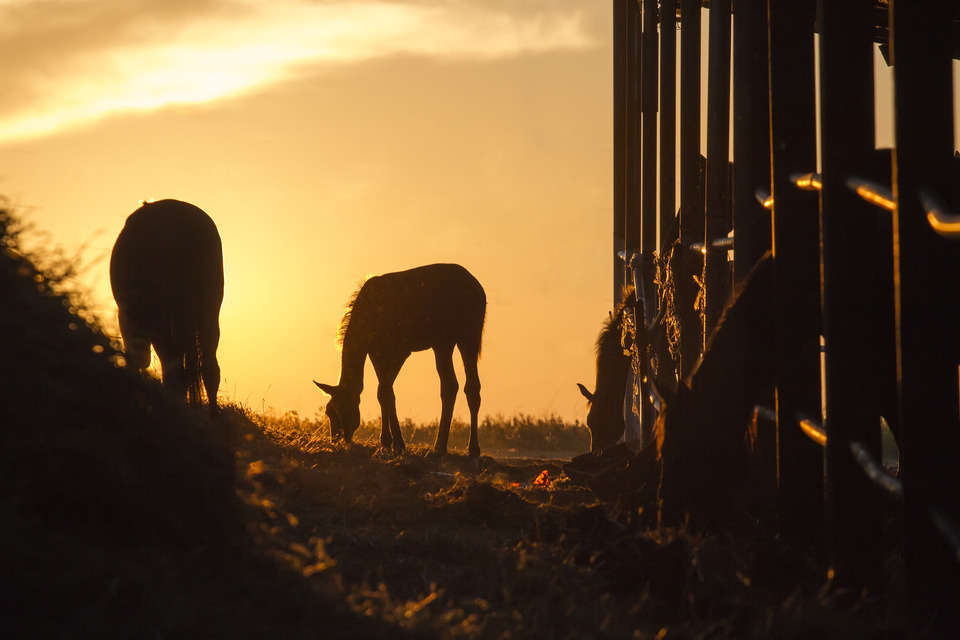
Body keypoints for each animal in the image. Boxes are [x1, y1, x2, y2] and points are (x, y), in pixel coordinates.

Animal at [316, 262, 488, 458]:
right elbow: (385, 393)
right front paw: (389, 442)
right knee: (450, 385)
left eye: (340, 409)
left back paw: (473, 449)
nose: (336, 438)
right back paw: (439, 446)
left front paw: (395, 443)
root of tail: (478, 289)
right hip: (443, 343)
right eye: (329, 411)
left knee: (471, 387)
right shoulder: (377, 352)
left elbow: (384, 391)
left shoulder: (400, 349)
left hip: (469, 334)